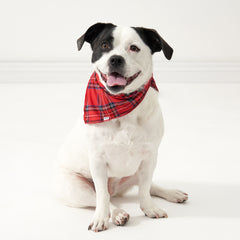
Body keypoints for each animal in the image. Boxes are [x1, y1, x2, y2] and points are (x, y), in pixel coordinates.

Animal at [54, 23, 188, 232]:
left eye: (134, 48)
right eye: (105, 45)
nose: (115, 58)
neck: (121, 104)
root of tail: (116, 189)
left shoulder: (149, 157)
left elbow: (145, 190)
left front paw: (149, 208)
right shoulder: (98, 161)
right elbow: (102, 196)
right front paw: (101, 218)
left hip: (137, 171)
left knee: (148, 186)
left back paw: (172, 193)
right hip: (76, 188)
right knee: (104, 198)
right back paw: (118, 214)